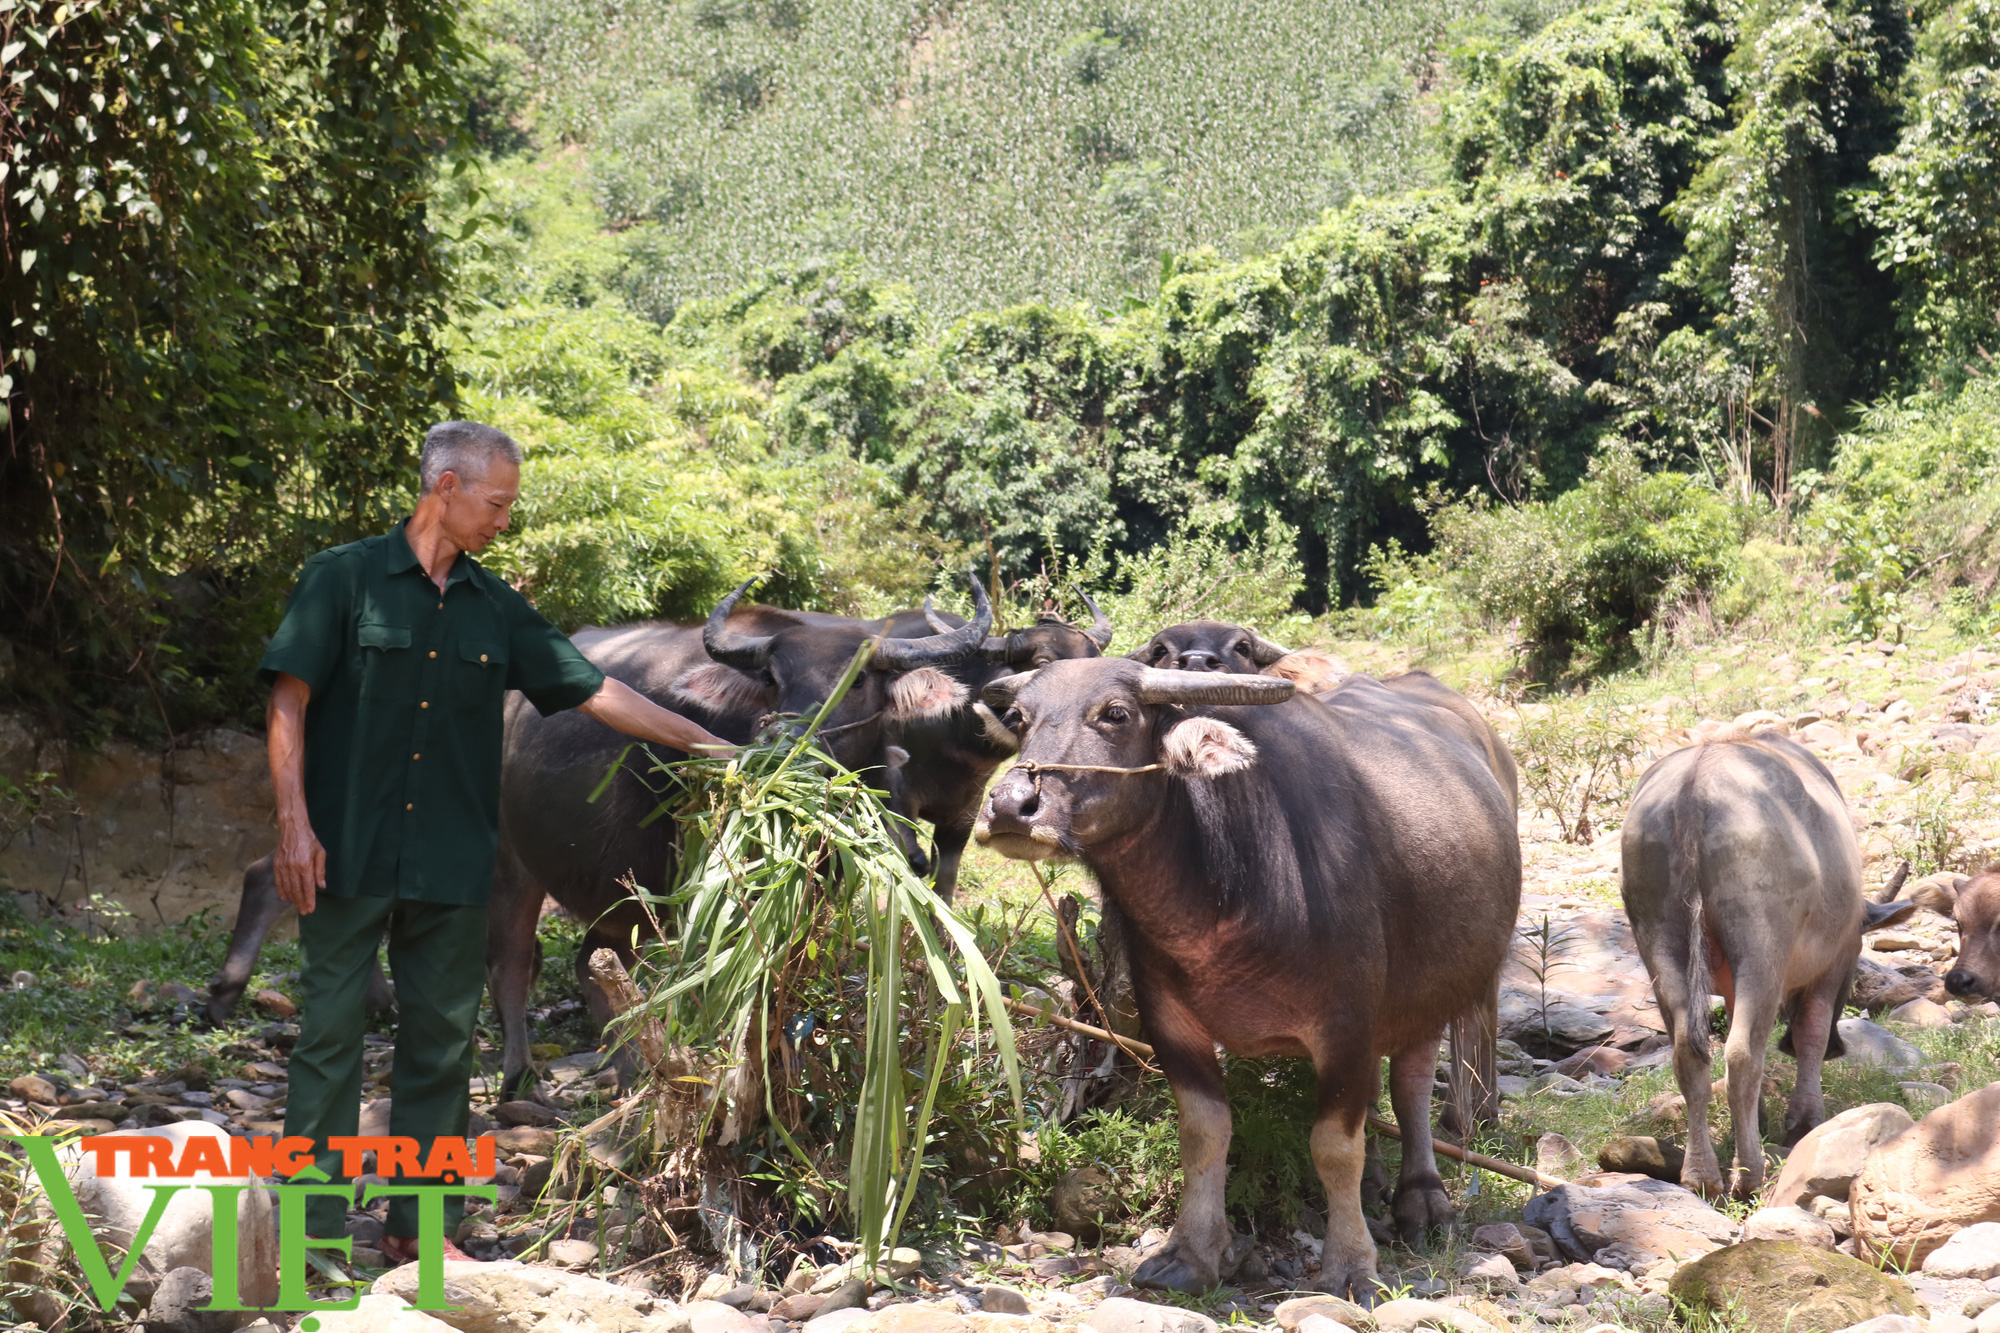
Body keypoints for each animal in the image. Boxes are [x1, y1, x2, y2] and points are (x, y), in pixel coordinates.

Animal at [968, 660, 1512, 1288]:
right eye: (1018, 718)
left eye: (1115, 713)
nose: (1010, 806)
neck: (1230, 891)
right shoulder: (1169, 1023)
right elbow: (1204, 1134)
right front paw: (1192, 1252)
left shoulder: (1347, 1025)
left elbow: (1334, 1147)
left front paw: (1351, 1264)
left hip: (1438, 991)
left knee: (1413, 1085)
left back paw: (1422, 1198)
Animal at [1616, 732, 1912, 1200]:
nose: (1839, 1048)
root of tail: (1694, 789)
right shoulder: (1833, 964)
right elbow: (1811, 1033)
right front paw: (1803, 1119)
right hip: (1761, 945)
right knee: (1742, 1054)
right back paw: (1749, 1172)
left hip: (1659, 940)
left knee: (1689, 1051)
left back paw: (1701, 1173)